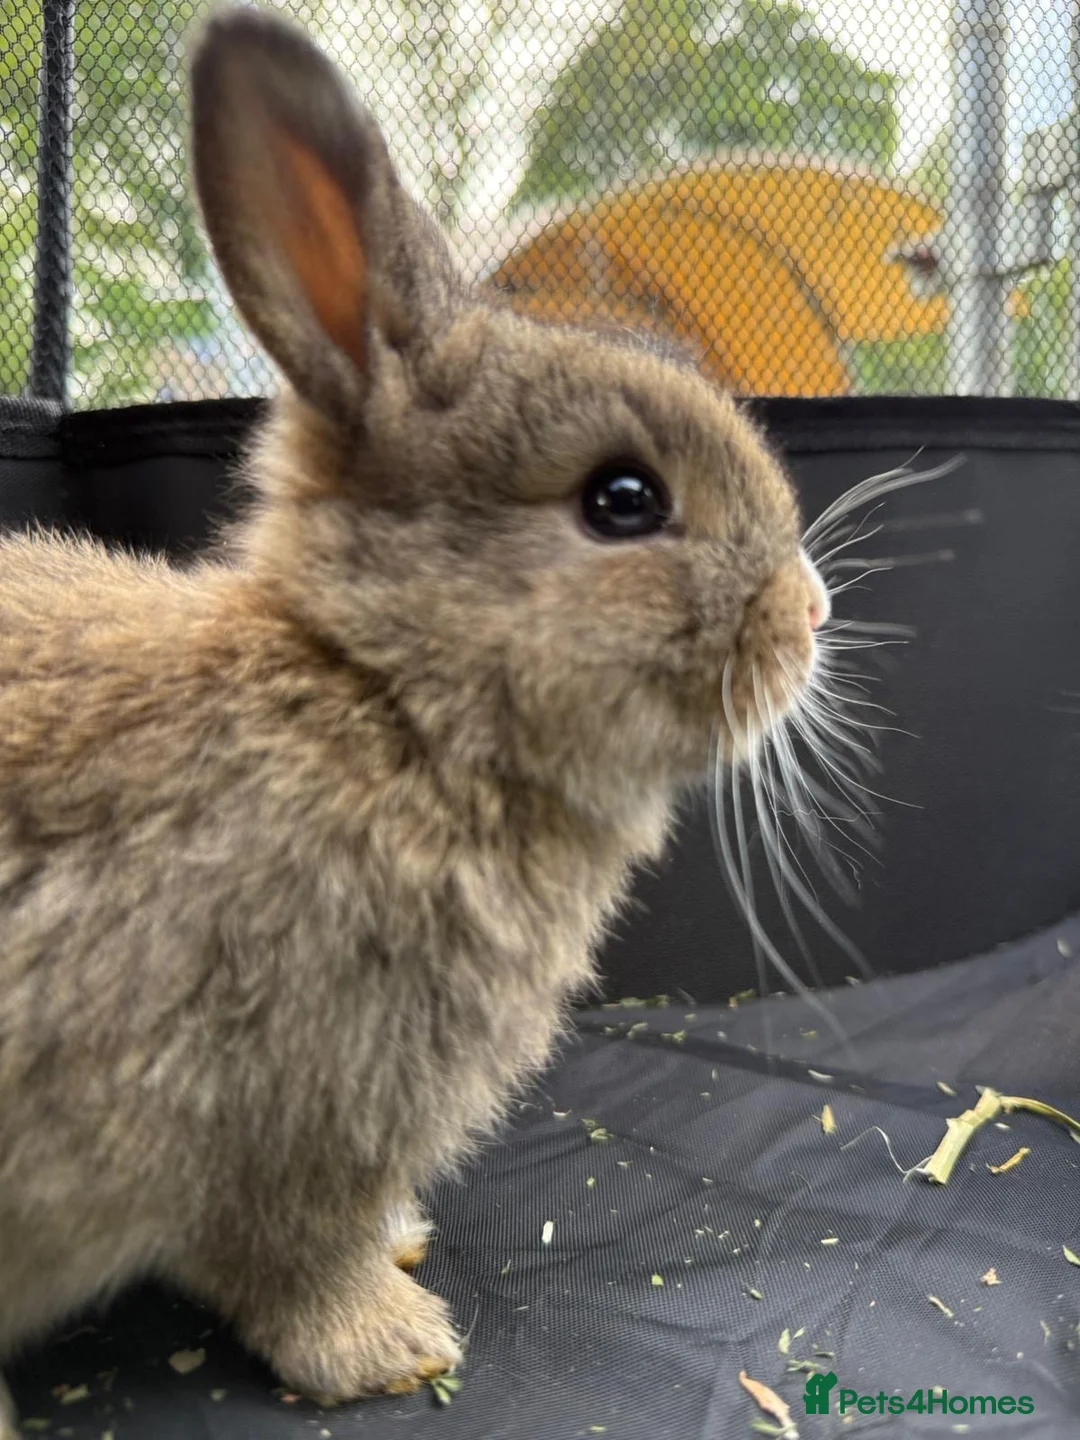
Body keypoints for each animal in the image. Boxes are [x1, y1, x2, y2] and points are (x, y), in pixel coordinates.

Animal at [0, 6, 830, 1430]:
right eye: (622, 500)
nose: (814, 613)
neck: (392, 701)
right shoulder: (275, 1113)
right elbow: (287, 1254)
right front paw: (391, 1346)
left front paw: (401, 1255)